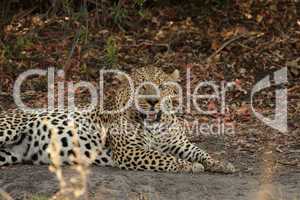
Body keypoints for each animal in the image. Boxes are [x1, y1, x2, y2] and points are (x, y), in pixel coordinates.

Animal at [0, 66, 234, 173]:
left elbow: (201, 152)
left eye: (162, 86)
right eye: (141, 86)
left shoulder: (179, 144)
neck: (155, 123)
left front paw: (221, 164)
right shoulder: (129, 151)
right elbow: (165, 158)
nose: (152, 101)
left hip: (9, 155)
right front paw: (190, 166)